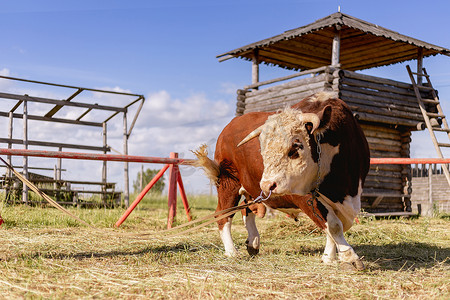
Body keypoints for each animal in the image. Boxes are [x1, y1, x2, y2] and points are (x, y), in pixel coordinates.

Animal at [193, 91, 370, 270]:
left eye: (295, 147)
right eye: (262, 151)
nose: (266, 185)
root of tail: (229, 127)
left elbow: (333, 226)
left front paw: (329, 257)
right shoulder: (303, 195)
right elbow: (333, 225)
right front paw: (349, 257)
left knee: (246, 208)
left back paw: (253, 242)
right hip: (228, 183)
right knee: (223, 215)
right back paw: (231, 251)